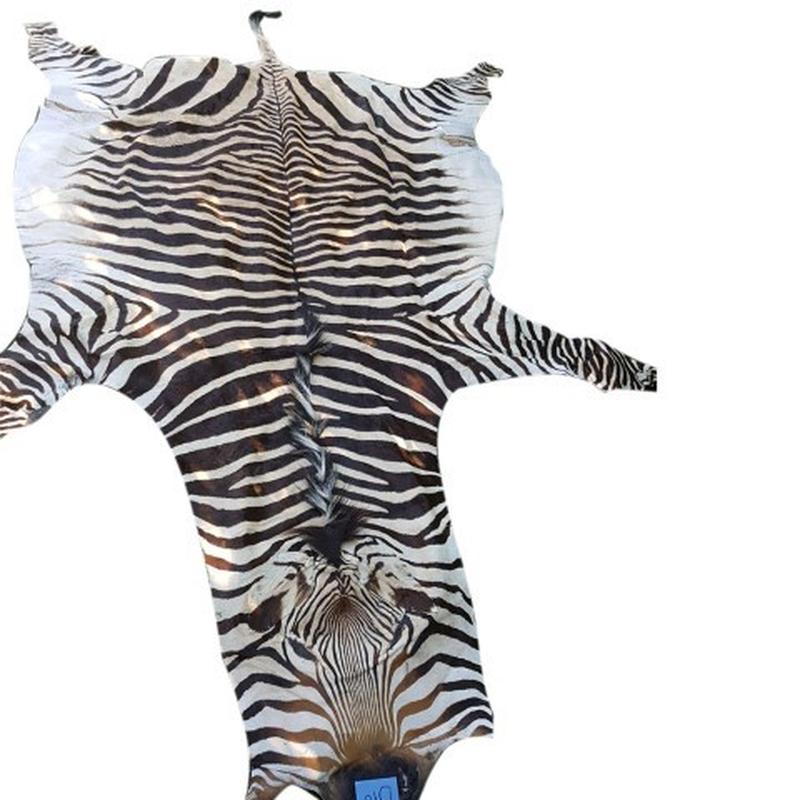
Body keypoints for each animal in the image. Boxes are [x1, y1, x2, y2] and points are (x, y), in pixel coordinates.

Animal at [0, 12, 657, 800]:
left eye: (410, 638)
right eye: (293, 656)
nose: (376, 774)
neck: (327, 486)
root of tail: (273, 76)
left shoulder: (455, 329)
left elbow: (579, 352)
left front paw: (647, 376)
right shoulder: (103, 327)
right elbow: (13, 390)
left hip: (409, 119)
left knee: (459, 90)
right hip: (118, 96)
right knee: (66, 53)